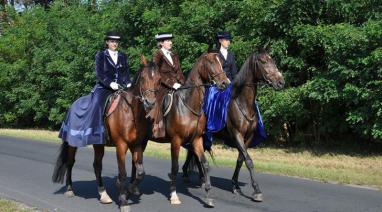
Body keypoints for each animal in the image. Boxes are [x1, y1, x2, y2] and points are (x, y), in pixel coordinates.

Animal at [51, 55, 159, 212]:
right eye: (144, 78)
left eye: (159, 79)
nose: (150, 103)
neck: (130, 111)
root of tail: (73, 104)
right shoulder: (121, 145)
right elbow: (123, 173)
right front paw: (123, 201)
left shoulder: (137, 145)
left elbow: (140, 173)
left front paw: (128, 193)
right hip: (72, 144)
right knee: (71, 163)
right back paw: (70, 189)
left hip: (99, 145)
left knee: (97, 166)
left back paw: (103, 194)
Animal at [150, 52, 230, 208]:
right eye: (211, 63)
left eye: (221, 63)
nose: (225, 83)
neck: (188, 103)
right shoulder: (175, 141)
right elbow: (174, 167)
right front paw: (174, 196)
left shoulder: (197, 140)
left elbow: (205, 164)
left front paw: (208, 196)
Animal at [181, 48, 284, 202]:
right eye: (264, 61)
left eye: (273, 61)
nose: (281, 82)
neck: (242, 101)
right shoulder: (237, 134)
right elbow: (249, 161)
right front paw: (256, 190)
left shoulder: (248, 137)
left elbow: (241, 160)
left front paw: (235, 185)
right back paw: (189, 175)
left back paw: (200, 178)